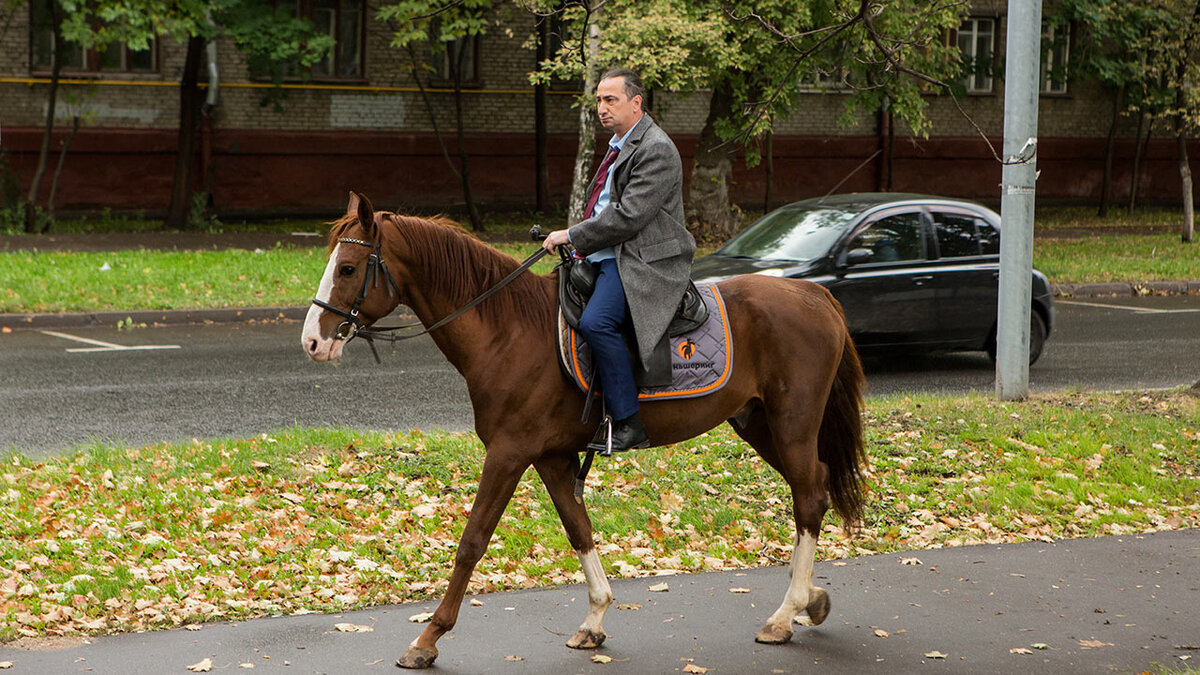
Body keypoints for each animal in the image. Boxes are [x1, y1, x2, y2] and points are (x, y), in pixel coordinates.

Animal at [298, 192, 864, 662]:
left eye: (347, 267)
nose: (312, 342)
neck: (509, 329)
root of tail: (816, 295)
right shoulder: (550, 456)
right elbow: (579, 529)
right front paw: (594, 619)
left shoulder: (508, 452)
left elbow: (472, 541)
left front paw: (428, 638)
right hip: (759, 424)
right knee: (812, 490)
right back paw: (809, 600)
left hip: (792, 423)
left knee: (808, 497)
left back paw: (784, 614)